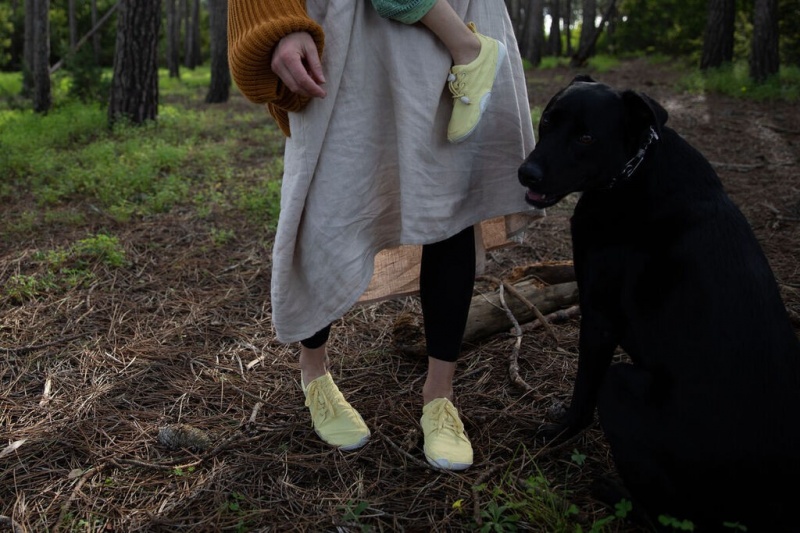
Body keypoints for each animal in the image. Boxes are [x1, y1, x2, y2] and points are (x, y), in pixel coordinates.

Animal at [520, 76, 800, 532]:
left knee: (673, 518)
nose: (526, 172)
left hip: (620, 386)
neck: (631, 173)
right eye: (546, 122)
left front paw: (561, 430)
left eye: (585, 137)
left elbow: (583, 390)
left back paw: (612, 491)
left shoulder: (599, 315)